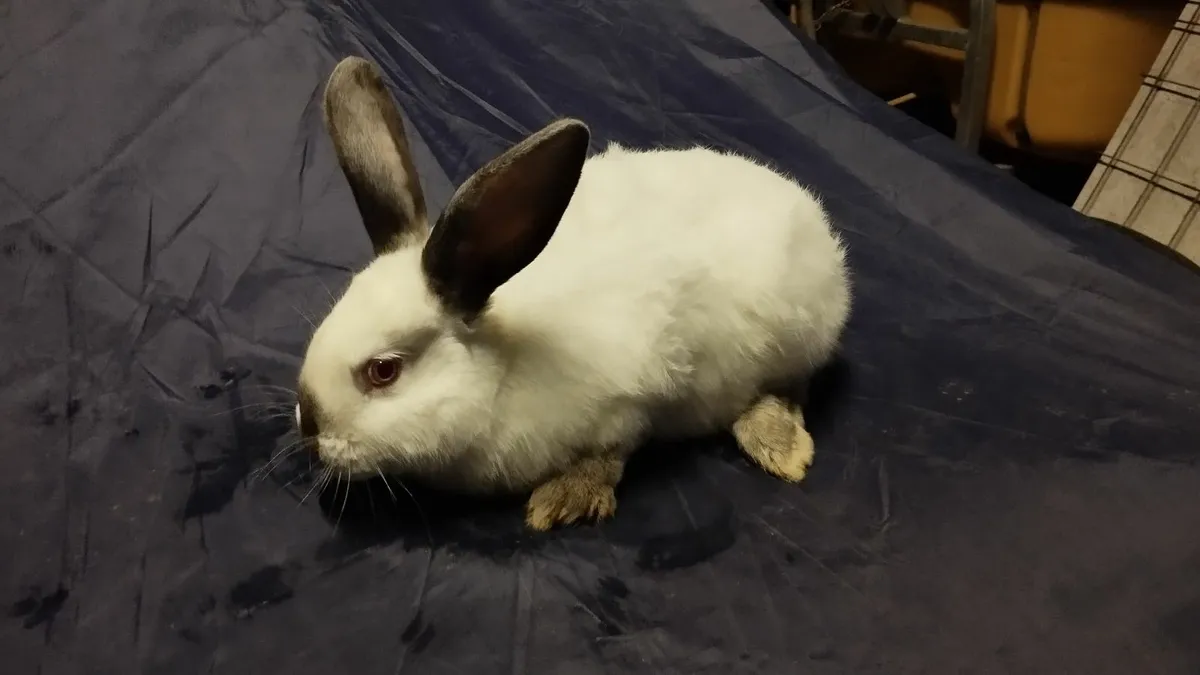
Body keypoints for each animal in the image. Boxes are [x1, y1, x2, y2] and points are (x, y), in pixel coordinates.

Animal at [295, 56, 852, 531]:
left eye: (382, 372)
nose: (310, 434)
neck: (504, 368)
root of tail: (812, 218)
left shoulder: (629, 400)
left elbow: (611, 450)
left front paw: (564, 498)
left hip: (787, 338)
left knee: (790, 387)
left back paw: (778, 444)